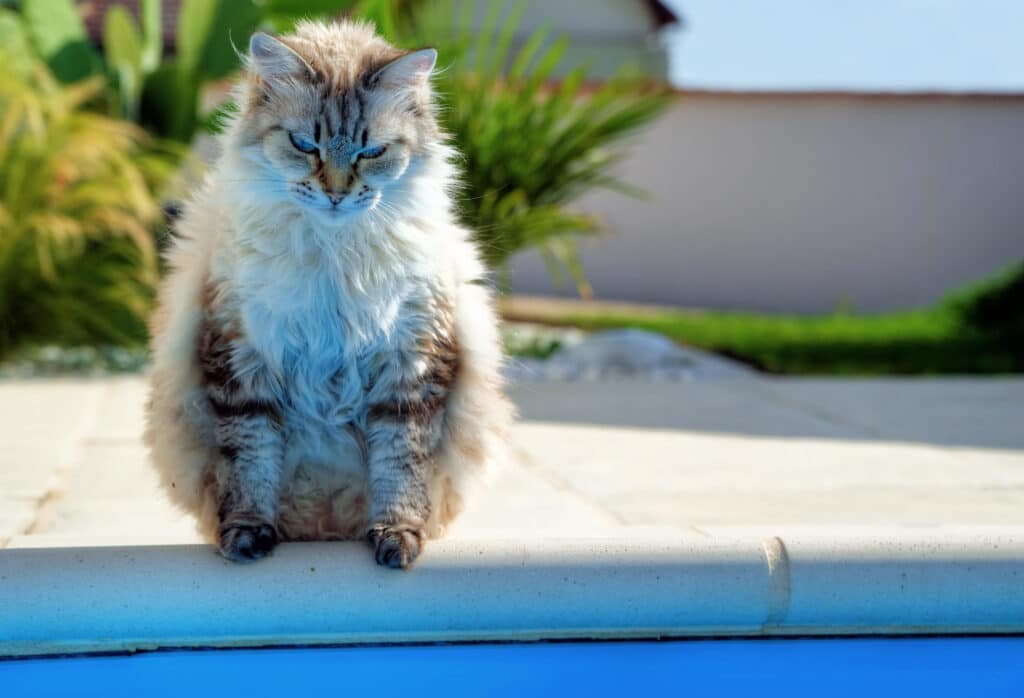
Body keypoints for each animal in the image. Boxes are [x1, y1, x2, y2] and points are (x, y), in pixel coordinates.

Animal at [144, 20, 512, 564]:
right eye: (304, 145)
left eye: (371, 152)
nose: (336, 193)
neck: (333, 258)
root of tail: (324, 530)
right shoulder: (242, 363)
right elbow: (251, 467)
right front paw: (248, 536)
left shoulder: (412, 368)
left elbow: (400, 468)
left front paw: (396, 538)